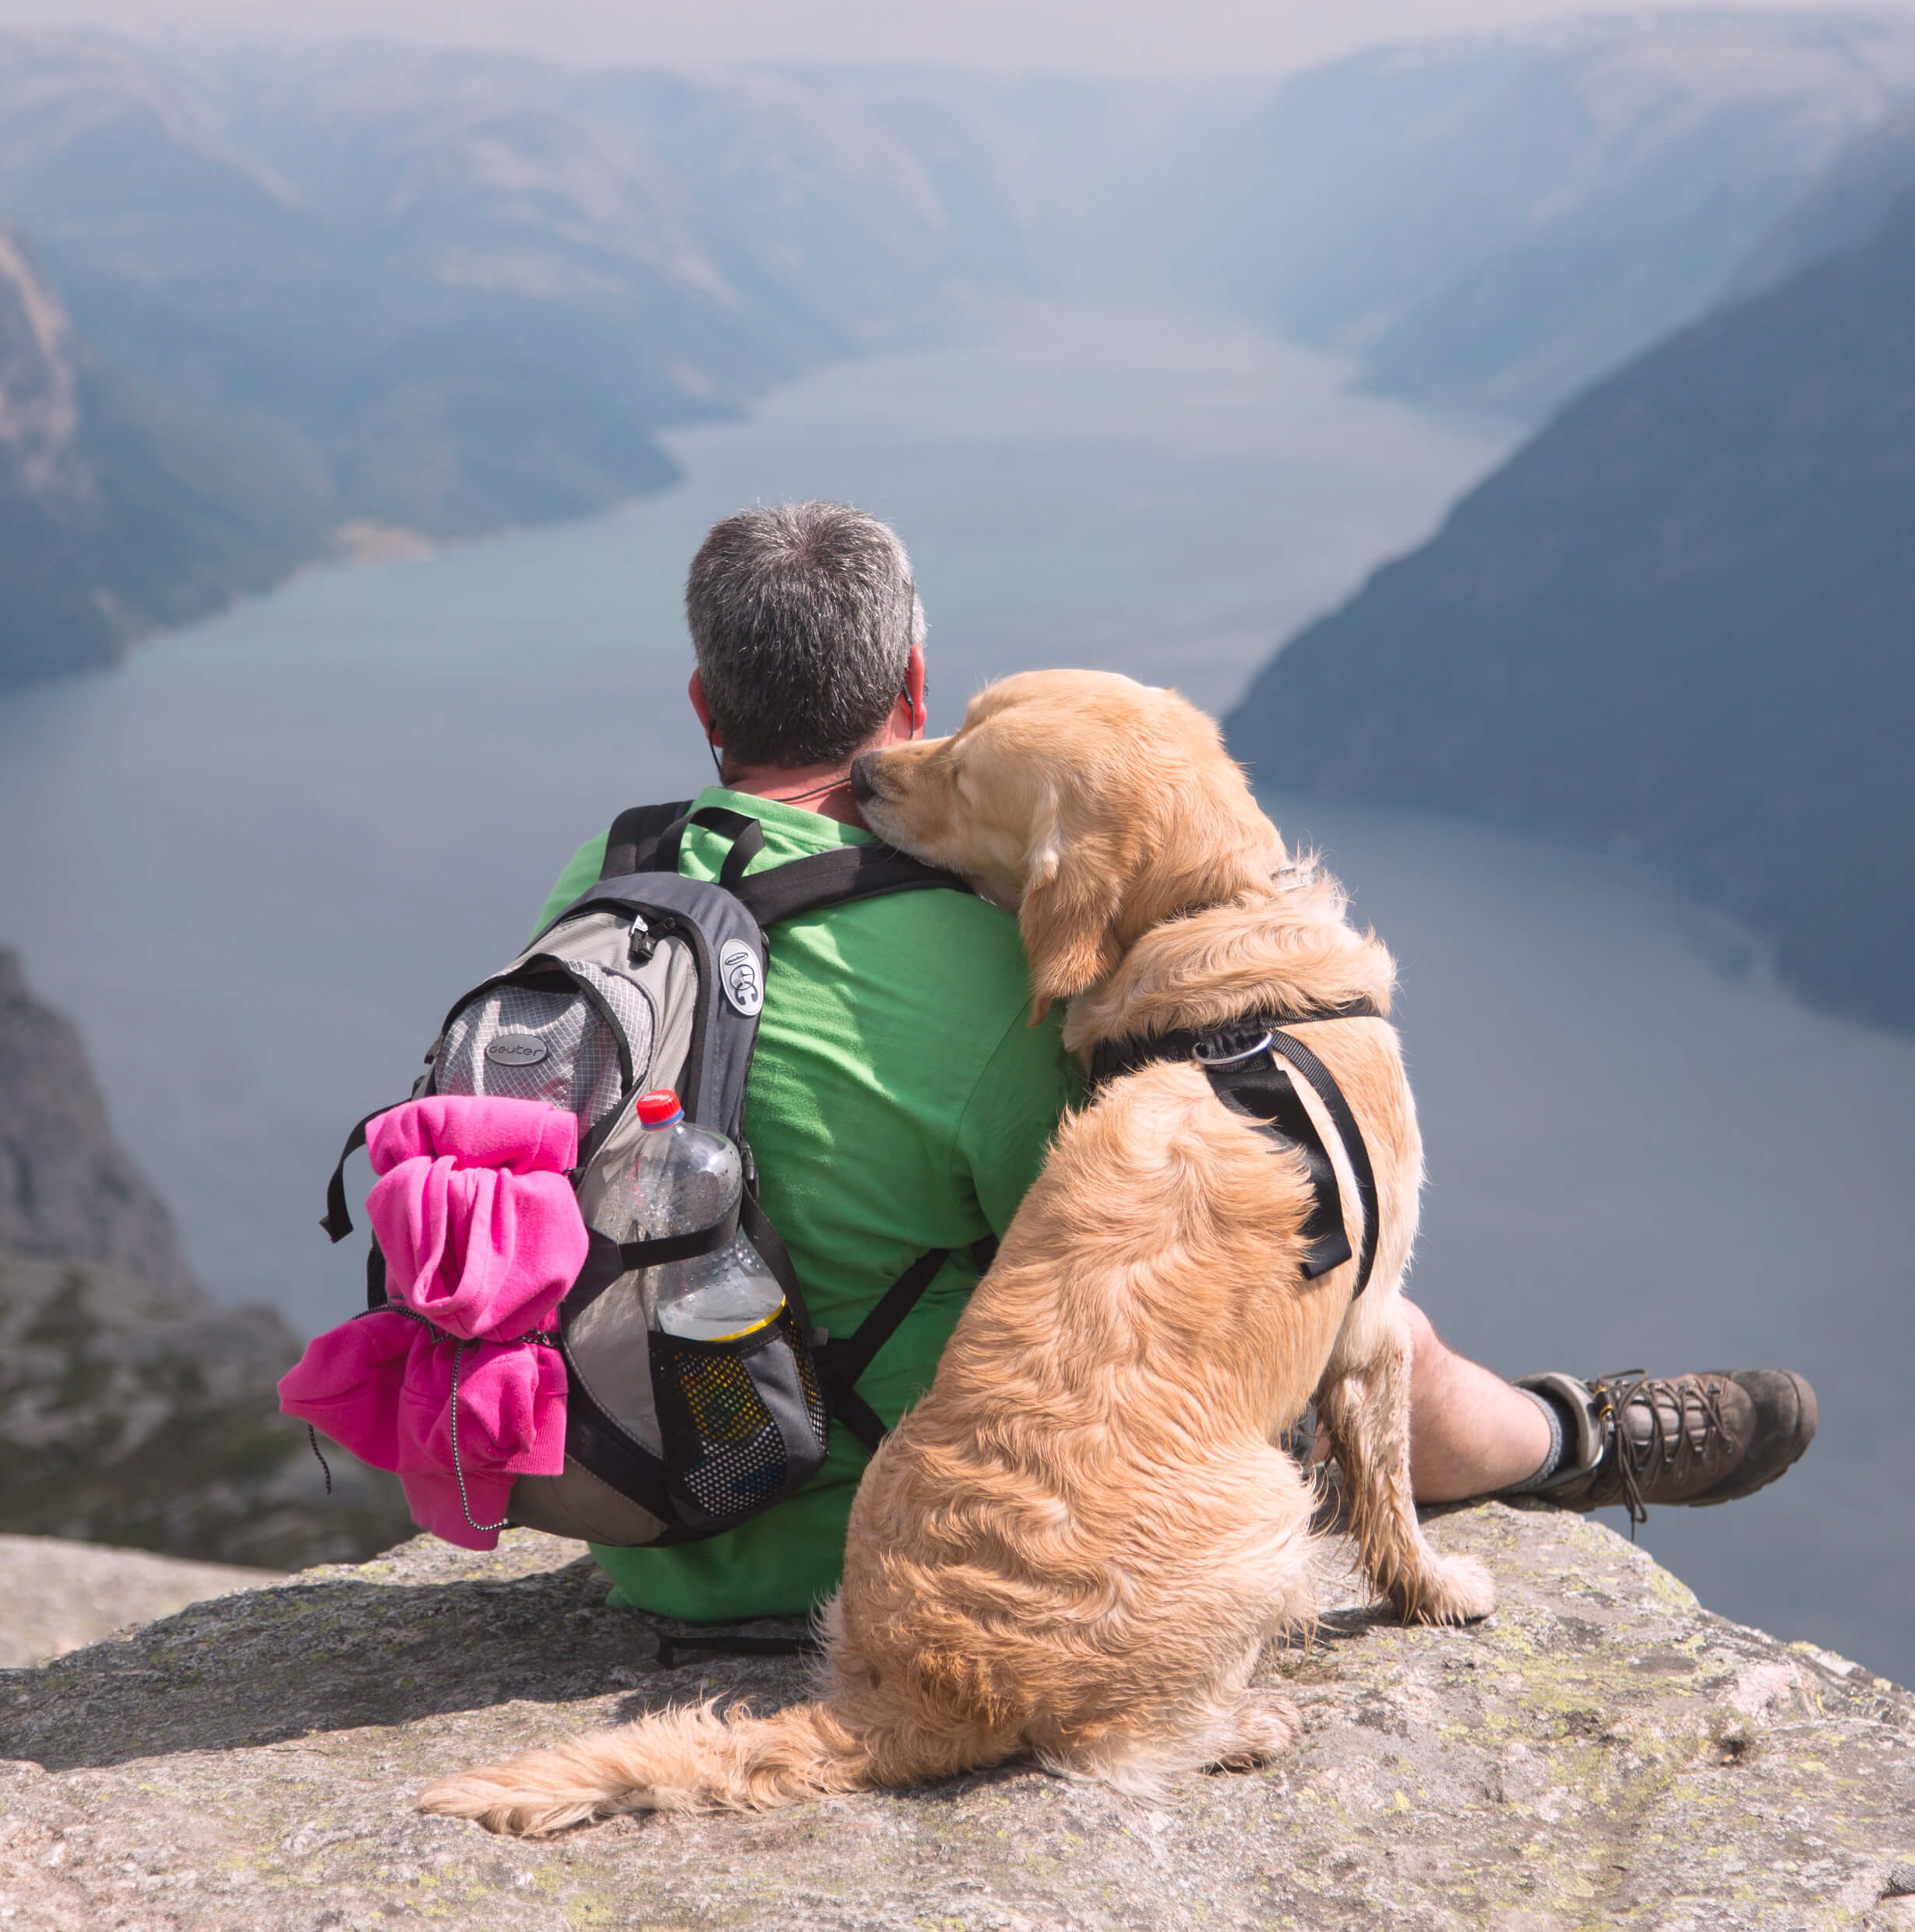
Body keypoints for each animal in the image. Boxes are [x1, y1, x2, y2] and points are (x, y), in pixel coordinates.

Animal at [419, 672, 1499, 1832]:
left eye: (967, 768)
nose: (860, 774)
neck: (1213, 941)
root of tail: (932, 1688)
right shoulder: (1373, 1320)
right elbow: (1390, 1486)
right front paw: (1435, 1590)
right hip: (1265, 1501)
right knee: (1113, 1749)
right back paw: (1246, 1724)